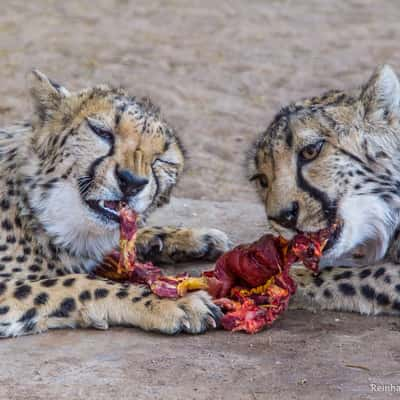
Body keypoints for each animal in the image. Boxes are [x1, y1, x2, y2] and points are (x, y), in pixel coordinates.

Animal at [0, 69, 228, 338]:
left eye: (161, 160)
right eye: (102, 132)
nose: (132, 182)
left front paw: (190, 237)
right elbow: (77, 283)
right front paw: (170, 301)